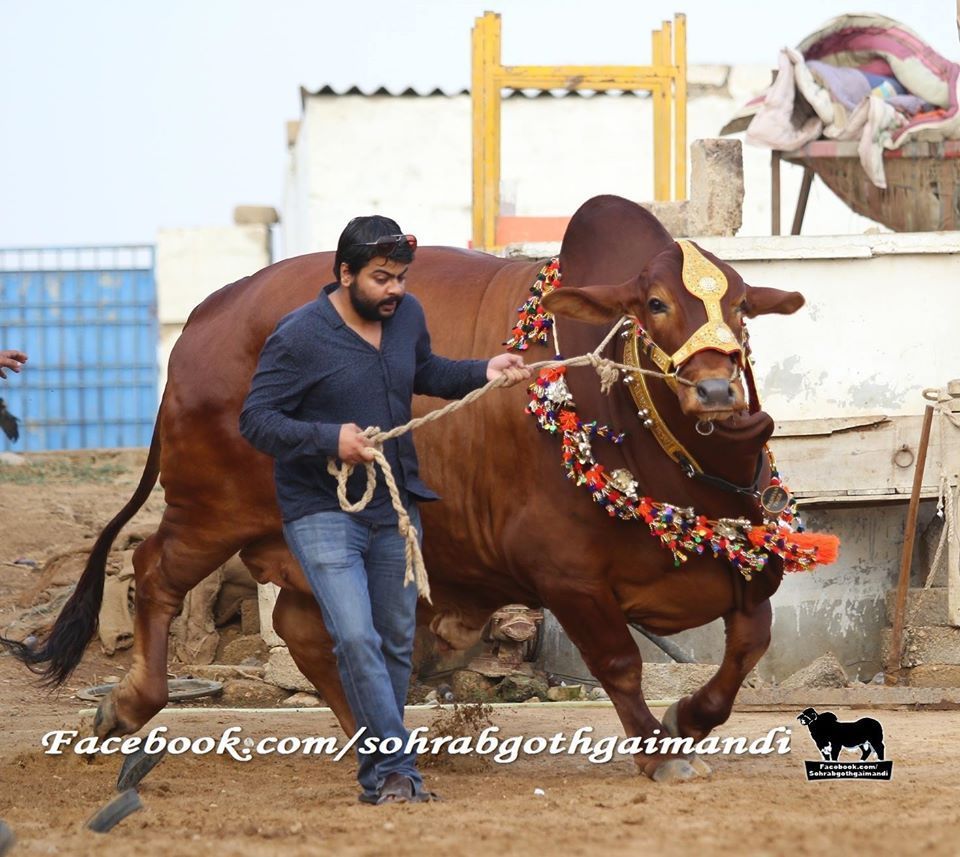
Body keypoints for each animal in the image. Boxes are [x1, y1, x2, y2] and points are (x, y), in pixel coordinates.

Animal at [5, 194, 808, 784]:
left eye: (741, 306)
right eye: (655, 305)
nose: (716, 390)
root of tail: (202, 321)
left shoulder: (750, 568)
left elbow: (749, 648)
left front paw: (688, 721)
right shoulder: (565, 573)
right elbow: (620, 663)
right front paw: (658, 750)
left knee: (305, 629)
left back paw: (373, 738)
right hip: (209, 510)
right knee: (153, 575)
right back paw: (126, 705)